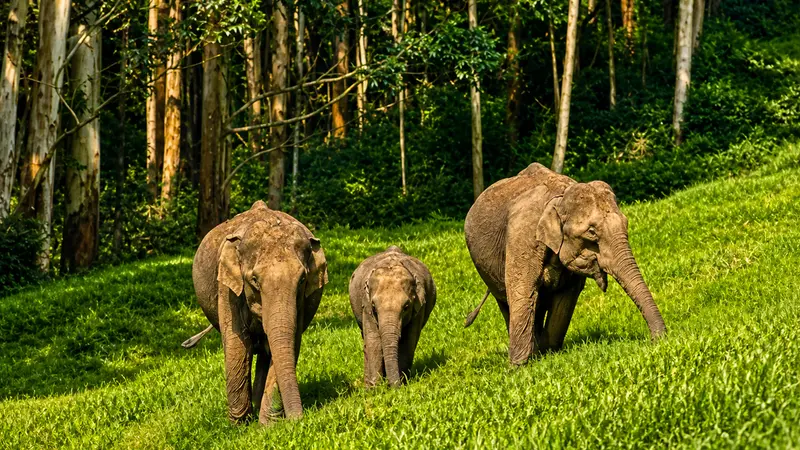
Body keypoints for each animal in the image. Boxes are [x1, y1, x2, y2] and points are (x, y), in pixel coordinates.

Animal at [184, 200, 328, 424]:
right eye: (254, 280)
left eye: (302, 280)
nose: (299, 420)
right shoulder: (227, 288)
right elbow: (237, 343)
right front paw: (239, 425)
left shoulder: (302, 301)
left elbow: (291, 342)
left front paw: (268, 425)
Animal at [349, 246, 436, 387]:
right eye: (374, 307)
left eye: (406, 307)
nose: (393, 387)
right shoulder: (366, 306)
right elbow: (373, 341)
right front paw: (375, 389)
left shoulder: (419, 307)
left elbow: (408, 341)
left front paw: (402, 384)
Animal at [463, 162, 666, 366]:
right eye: (592, 232)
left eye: (626, 223)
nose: (656, 340)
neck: (560, 197)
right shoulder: (523, 235)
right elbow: (522, 290)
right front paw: (519, 367)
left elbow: (566, 296)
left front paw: (548, 352)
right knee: (507, 301)